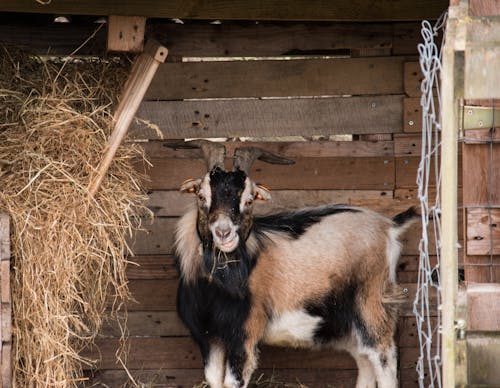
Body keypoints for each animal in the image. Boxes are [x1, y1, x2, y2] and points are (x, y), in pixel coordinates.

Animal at [174, 140, 416, 388]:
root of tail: (389, 226)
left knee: (384, 358)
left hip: (372, 305)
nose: (224, 233)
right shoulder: (208, 337)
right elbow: (214, 379)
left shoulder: (245, 333)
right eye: (201, 196)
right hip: (347, 322)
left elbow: (233, 381)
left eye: (249, 200)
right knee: (365, 359)